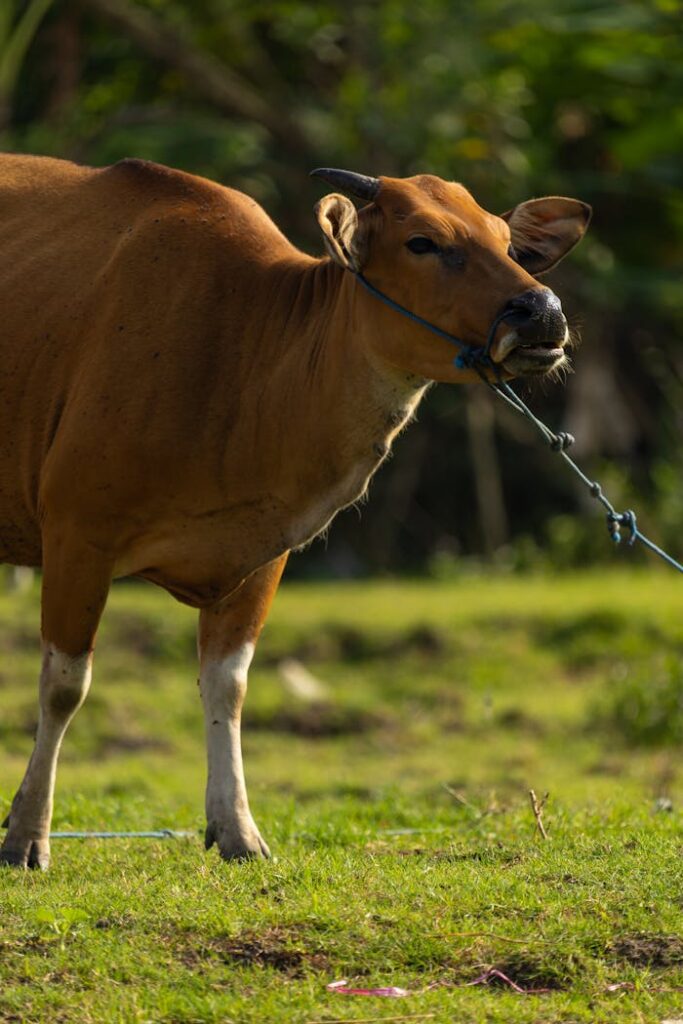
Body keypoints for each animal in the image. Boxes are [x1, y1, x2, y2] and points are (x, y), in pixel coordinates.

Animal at [0, 155, 590, 868]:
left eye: (507, 244)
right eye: (422, 242)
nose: (542, 312)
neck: (242, 358)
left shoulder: (262, 556)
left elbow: (228, 686)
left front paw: (237, 830)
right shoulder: (76, 534)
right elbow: (64, 685)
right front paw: (27, 835)